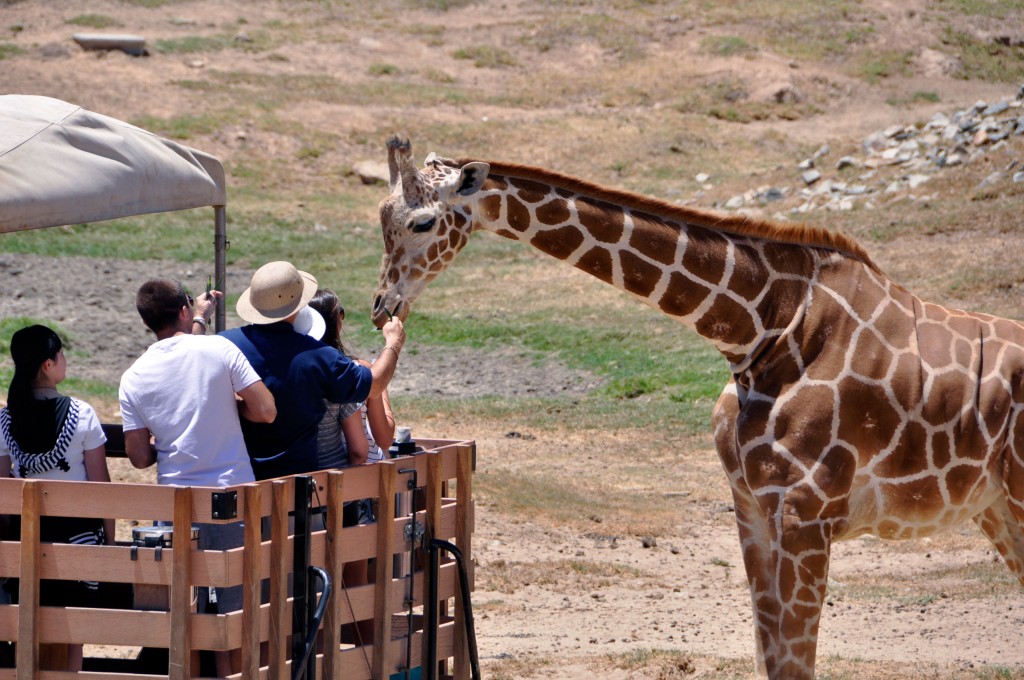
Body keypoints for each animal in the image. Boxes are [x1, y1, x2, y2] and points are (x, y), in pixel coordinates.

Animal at [374, 138, 1024, 680]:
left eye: (423, 221)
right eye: (381, 216)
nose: (382, 305)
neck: (763, 330)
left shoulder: (805, 513)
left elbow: (795, 662)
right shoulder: (753, 509)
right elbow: (772, 659)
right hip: (997, 510)